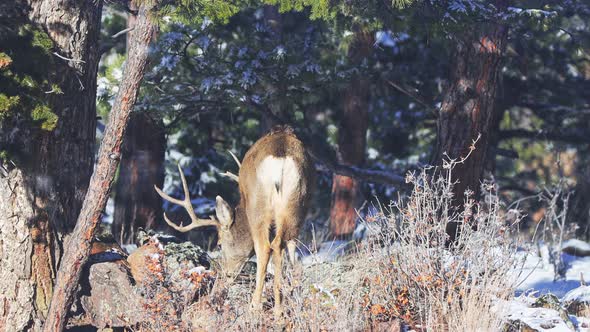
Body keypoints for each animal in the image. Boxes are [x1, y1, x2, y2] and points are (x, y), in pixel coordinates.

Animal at [155, 126, 316, 316]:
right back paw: (280, 307)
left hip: (258, 207)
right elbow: (293, 252)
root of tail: (280, 158)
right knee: (281, 245)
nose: (226, 274)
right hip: (296, 205)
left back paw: (256, 305)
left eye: (219, 244)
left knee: (265, 248)